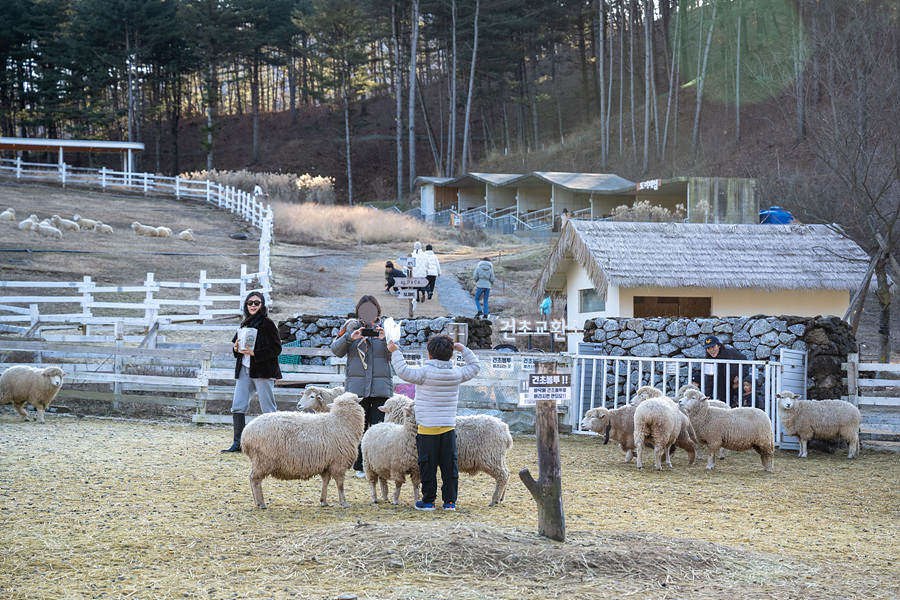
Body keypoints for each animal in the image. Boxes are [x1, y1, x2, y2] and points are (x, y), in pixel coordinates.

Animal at [384, 394, 516, 506]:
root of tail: (505, 429)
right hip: (498, 457)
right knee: (507, 473)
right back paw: (501, 498)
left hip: (490, 457)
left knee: (502, 475)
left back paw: (494, 499)